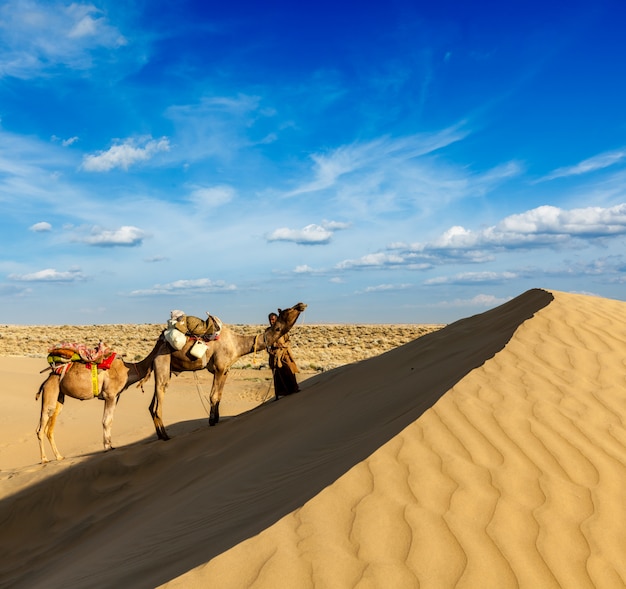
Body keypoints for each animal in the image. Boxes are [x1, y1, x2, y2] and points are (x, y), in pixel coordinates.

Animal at [36, 338, 166, 462]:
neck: (128, 370)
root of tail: (47, 380)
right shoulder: (110, 395)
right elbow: (106, 421)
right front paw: (108, 447)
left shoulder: (115, 397)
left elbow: (110, 420)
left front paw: (110, 445)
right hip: (50, 394)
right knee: (41, 428)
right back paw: (45, 459)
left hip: (59, 397)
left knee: (48, 427)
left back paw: (58, 457)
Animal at [144, 300, 304, 438]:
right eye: (288, 310)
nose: (301, 304)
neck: (237, 344)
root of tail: (157, 347)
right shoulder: (219, 368)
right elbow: (213, 396)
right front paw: (211, 421)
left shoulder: (226, 370)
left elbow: (219, 395)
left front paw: (216, 419)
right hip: (162, 363)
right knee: (158, 401)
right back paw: (165, 436)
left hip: (164, 369)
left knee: (152, 405)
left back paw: (160, 435)